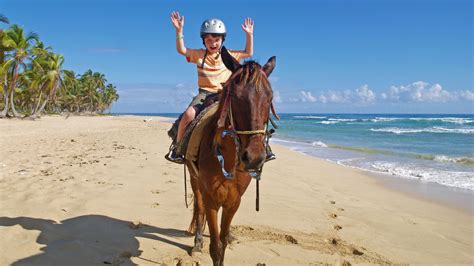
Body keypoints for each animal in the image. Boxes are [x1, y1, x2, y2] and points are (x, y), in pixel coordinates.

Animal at [184, 46, 276, 264]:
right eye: (234, 97)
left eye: (270, 98)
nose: (254, 158)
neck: (227, 159)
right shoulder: (211, 199)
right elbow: (216, 246)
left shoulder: (234, 202)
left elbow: (223, 240)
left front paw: (229, 236)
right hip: (194, 180)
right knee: (199, 208)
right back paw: (197, 242)